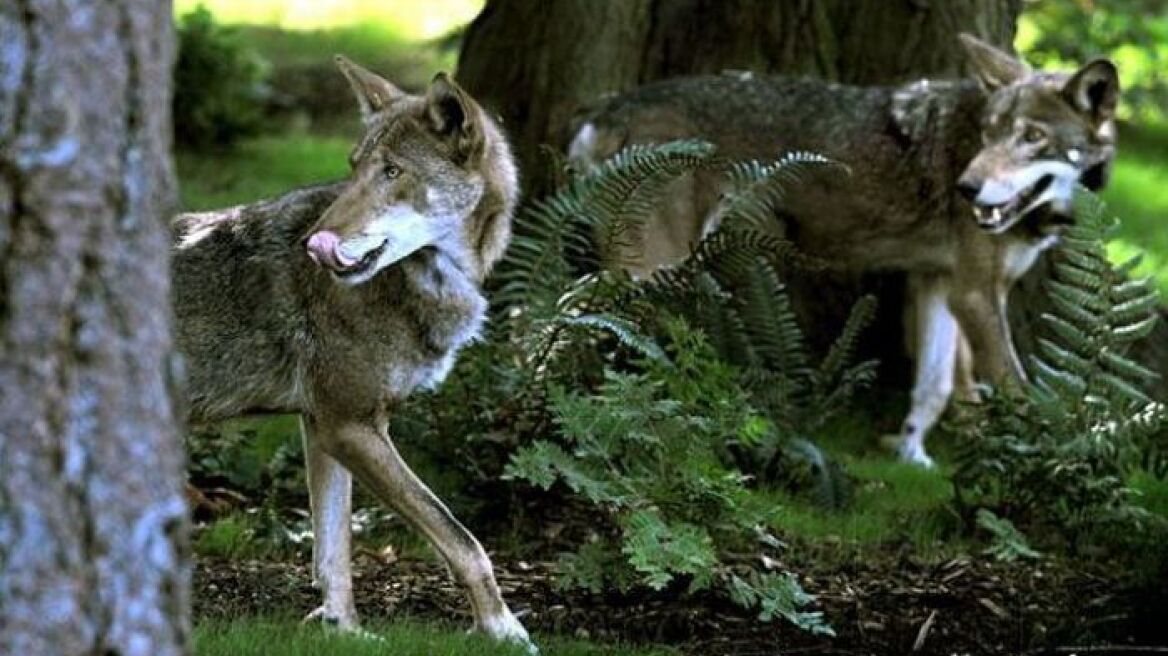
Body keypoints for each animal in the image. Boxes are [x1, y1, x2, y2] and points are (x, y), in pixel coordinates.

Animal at [171, 58, 534, 644]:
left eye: (391, 172)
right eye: (355, 167)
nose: (310, 245)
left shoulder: (325, 427)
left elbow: (334, 551)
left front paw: (342, 629)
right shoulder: (352, 427)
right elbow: (462, 539)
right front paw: (504, 630)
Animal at [569, 34, 1116, 464]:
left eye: (1032, 137)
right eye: (989, 135)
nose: (968, 188)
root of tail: (606, 111)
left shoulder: (940, 285)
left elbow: (937, 388)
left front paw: (913, 462)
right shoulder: (977, 294)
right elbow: (1013, 392)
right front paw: (1040, 470)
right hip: (650, 269)